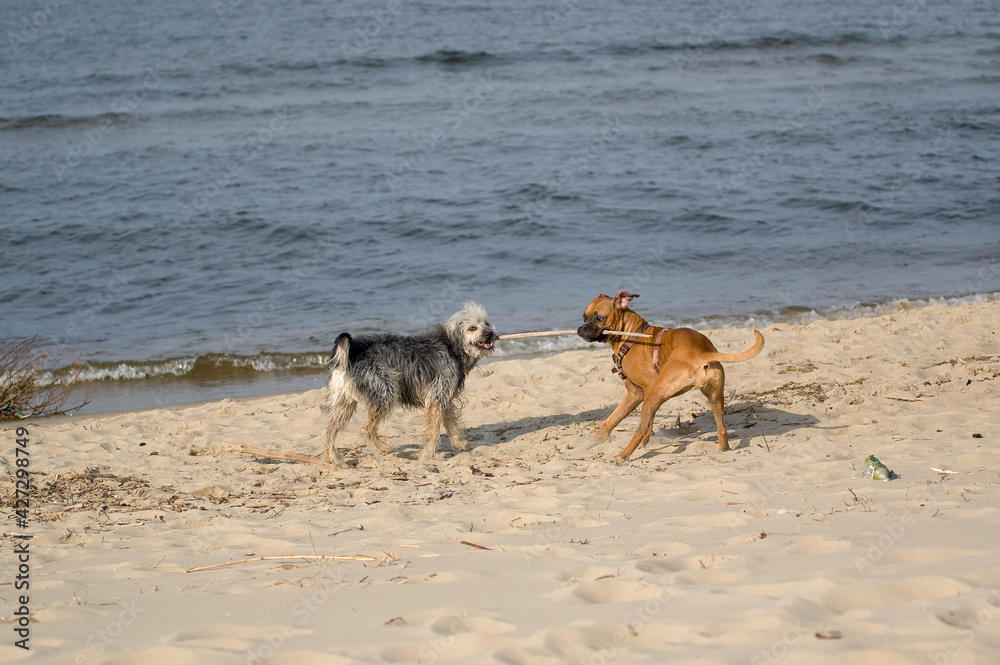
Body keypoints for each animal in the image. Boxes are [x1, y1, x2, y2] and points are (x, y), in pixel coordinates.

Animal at [322, 300, 498, 462]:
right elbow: (434, 431)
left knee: (329, 430)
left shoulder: (444, 398)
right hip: (385, 393)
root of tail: (352, 351)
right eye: (472, 328)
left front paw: (461, 444)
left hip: (345, 402)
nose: (489, 333)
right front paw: (428, 454)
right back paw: (384, 448)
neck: (451, 348)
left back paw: (334, 459)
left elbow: (452, 424)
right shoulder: (436, 399)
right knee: (366, 429)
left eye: (486, 323)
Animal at [580, 290, 764, 462]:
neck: (632, 335)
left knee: (639, 429)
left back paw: (623, 455)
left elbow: (617, 420)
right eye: (584, 317)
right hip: (715, 398)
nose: (582, 328)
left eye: (599, 318)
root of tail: (700, 352)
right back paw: (723, 449)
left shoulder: (637, 393)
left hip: (654, 396)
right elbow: (619, 422)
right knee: (722, 428)